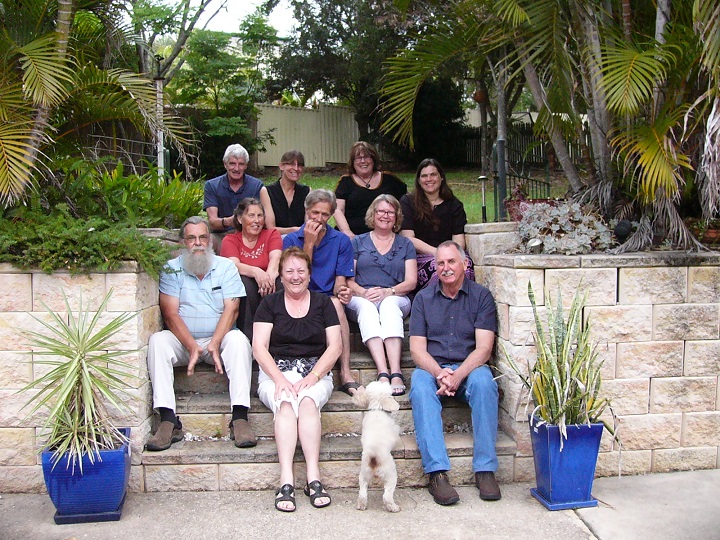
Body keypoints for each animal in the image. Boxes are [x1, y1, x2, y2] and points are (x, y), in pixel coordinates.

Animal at [354, 380, 404, 510]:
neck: (377, 409)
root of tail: (373, 456)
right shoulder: (394, 430)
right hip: (391, 475)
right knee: (387, 496)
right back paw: (394, 508)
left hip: (364, 475)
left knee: (362, 492)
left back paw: (361, 505)